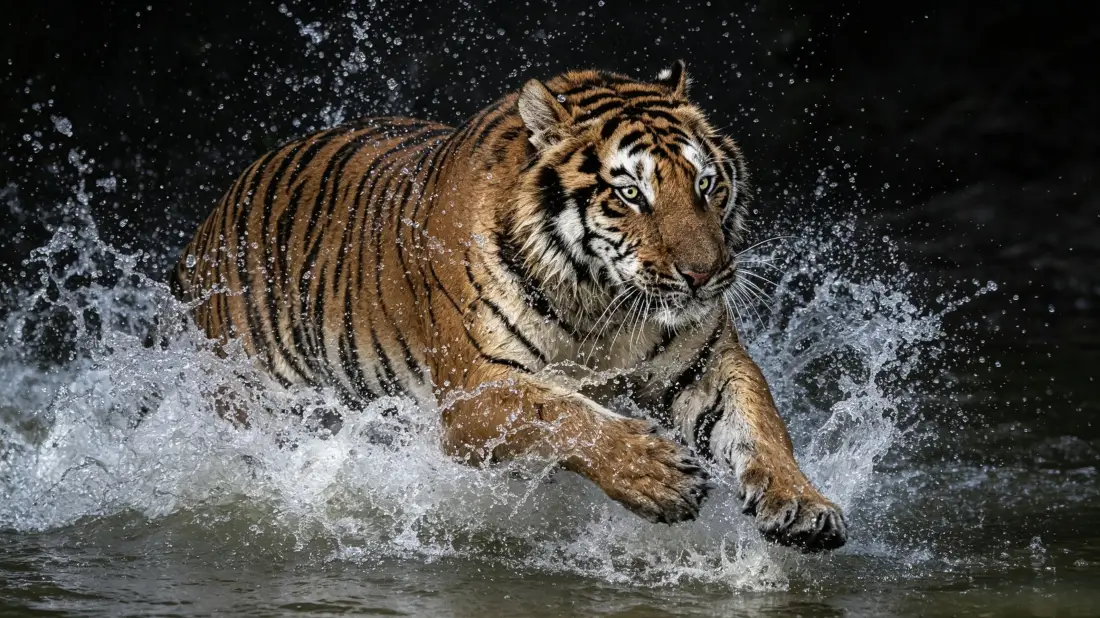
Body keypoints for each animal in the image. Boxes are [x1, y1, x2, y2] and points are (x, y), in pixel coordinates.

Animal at [171, 60, 847, 551]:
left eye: (707, 184)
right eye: (631, 194)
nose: (705, 276)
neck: (601, 301)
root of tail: (208, 223)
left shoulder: (705, 365)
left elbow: (760, 423)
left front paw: (803, 505)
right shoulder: (474, 392)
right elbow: (562, 414)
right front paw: (656, 474)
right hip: (251, 401)